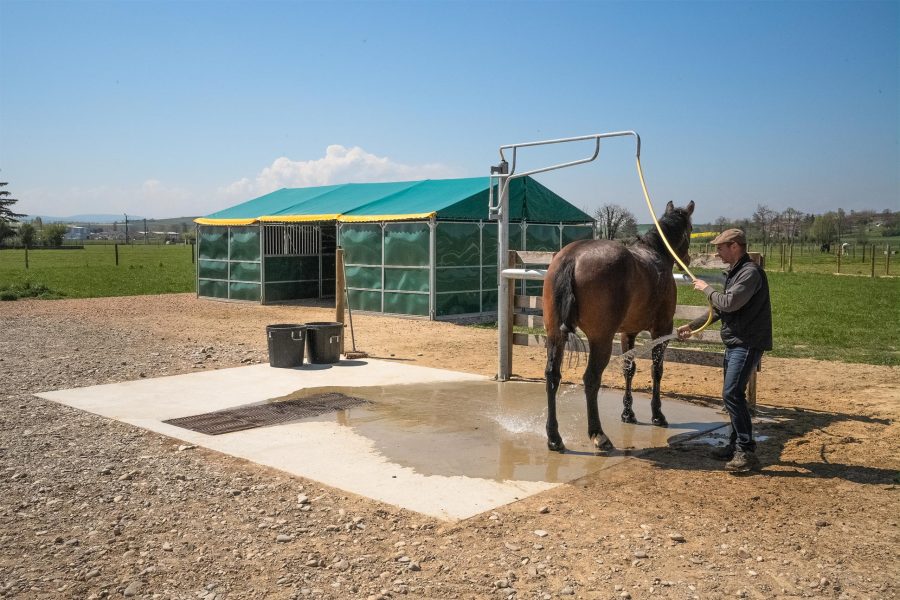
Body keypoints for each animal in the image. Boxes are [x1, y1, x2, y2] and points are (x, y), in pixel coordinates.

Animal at [540, 199, 696, 452]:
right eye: (690, 229)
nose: (688, 260)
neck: (656, 255)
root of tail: (572, 257)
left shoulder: (627, 332)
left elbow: (628, 370)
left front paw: (628, 413)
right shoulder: (662, 329)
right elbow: (657, 370)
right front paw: (657, 415)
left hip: (555, 335)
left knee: (553, 375)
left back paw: (554, 437)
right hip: (601, 340)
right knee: (591, 379)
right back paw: (598, 434)